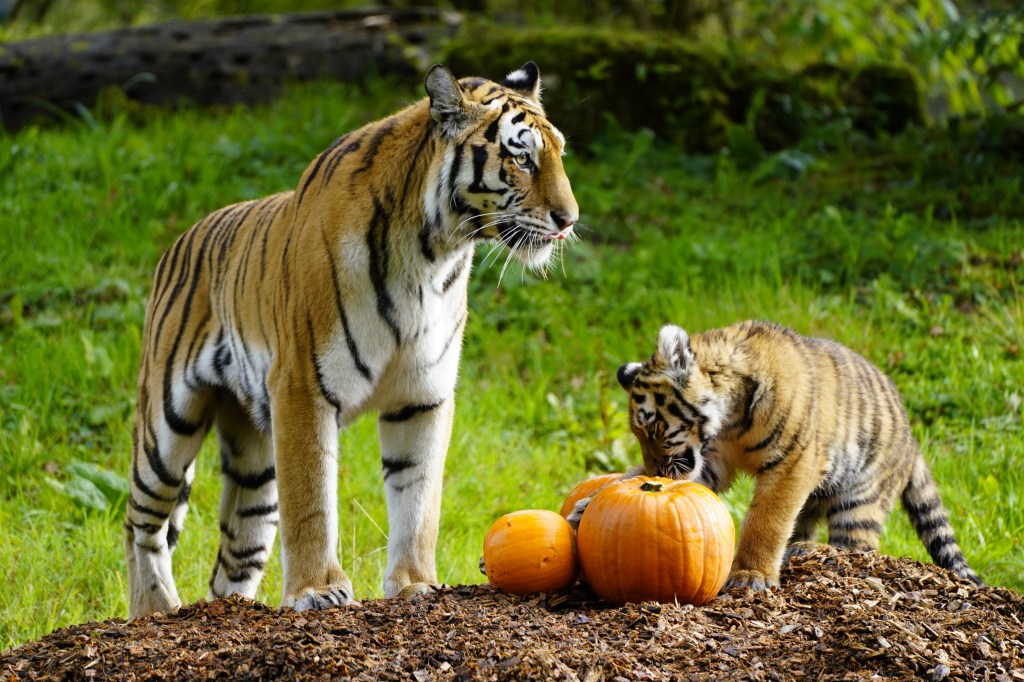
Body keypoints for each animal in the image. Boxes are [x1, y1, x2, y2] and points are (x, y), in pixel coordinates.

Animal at [124, 61, 579, 618]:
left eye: (558, 153)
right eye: (521, 157)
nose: (570, 220)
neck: (434, 252)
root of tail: (181, 239)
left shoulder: (423, 396)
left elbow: (418, 497)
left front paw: (415, 584)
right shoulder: (302, 387)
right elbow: (312, 500)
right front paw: (317, 590)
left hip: (256, 462)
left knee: (234, 553)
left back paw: (230, 611)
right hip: (167, 422)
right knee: (142, 522)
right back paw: (155, 609)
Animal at [569, 320, 979, 591]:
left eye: (651, 427)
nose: (657, 468)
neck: (729, 423)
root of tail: (912, 438)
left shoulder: (791, 463)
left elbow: (767, 521)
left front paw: (751, 576)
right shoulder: (711, 461)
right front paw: (585, 507)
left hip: (860, 498)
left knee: (857, 547)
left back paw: (814, 551)